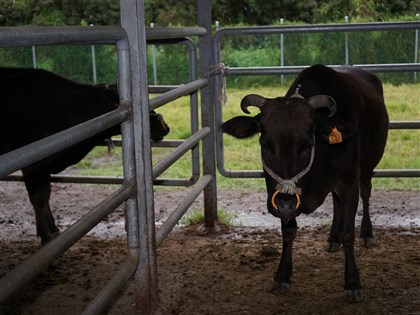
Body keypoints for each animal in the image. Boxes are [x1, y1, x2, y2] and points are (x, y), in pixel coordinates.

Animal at [0, 67, 171, 244]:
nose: (164, 126)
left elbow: (46, 195)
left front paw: (53, 229)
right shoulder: (33, 163)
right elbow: (38, 198)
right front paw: (45, 235)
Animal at [221, 65, 388, 304]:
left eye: (308, 144)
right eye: (264, 144)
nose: (285, 204)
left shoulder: (349, 183)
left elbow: (348, 231)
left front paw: (353, 283)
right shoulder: (278, 195)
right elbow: (288, 230)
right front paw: (282, 275)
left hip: (368, 168)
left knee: (366, 193)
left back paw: (367, 233)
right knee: (335, 203)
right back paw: (332, 239)